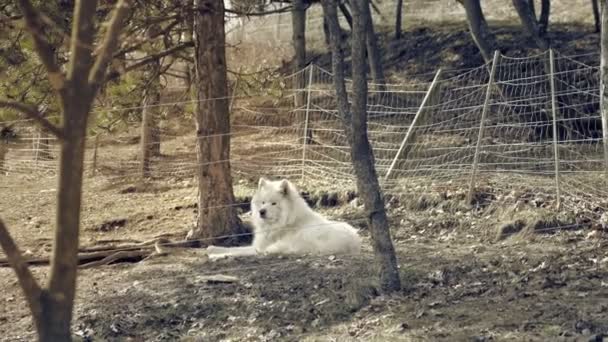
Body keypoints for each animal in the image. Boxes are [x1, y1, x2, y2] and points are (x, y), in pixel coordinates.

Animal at [208, 178, 360, 258]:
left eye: (273, 203)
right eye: (263, 202)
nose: (261, 212)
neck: (287, 221)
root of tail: (355, 243)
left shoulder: (259, 248)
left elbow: (236, 250)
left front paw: (215, 252)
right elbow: (234, 248)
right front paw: (212, 249)